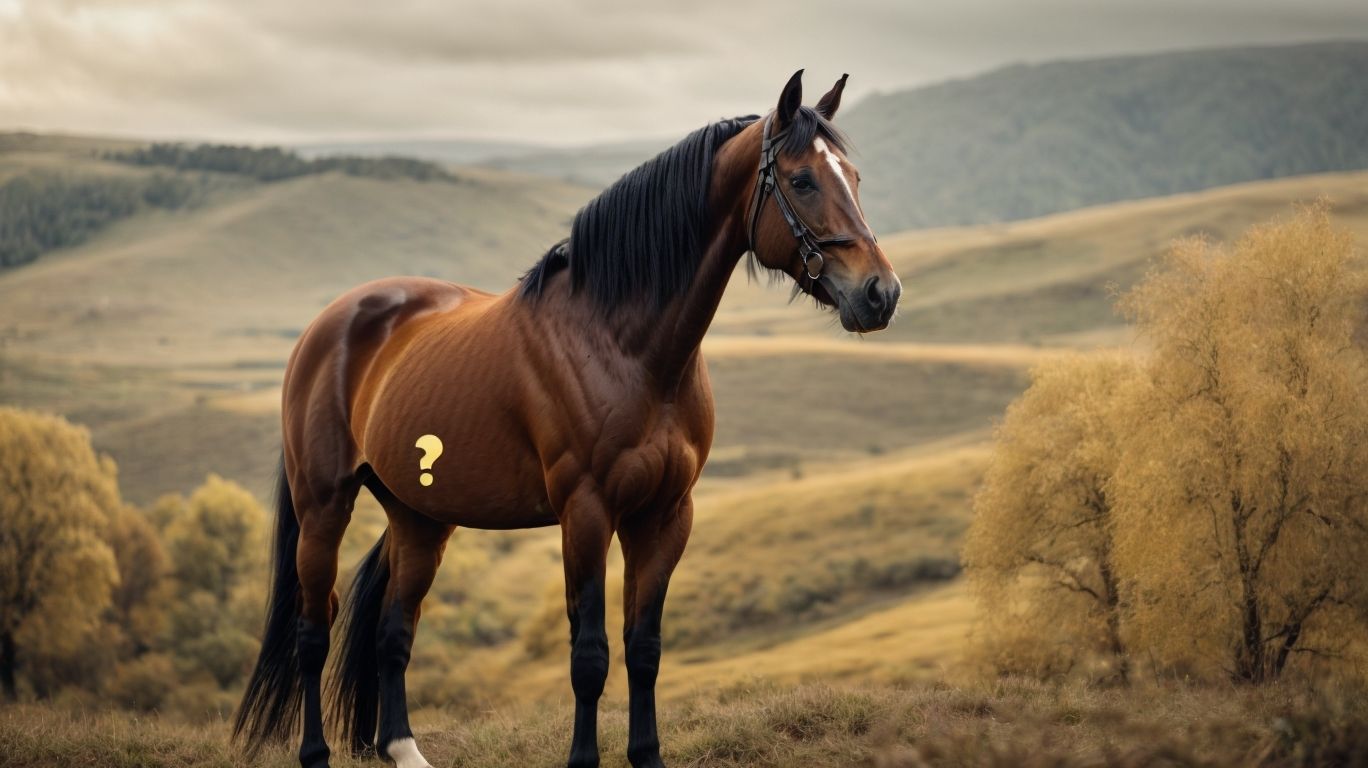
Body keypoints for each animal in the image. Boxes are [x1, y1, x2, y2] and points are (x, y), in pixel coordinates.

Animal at [232, 69, 901, 768]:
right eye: (802, 180)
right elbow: (590, 655)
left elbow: (643, 648)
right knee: (313, 630)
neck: (623, 344)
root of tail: (331, 322)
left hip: (419, 519)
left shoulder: (666, 516)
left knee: (393, 629)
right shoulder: (586, 514)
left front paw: (647, 755)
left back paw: (403, 749)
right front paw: (584, 758)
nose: (881, 293)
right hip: (323, 507)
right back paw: (314, 752)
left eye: (854, 177)